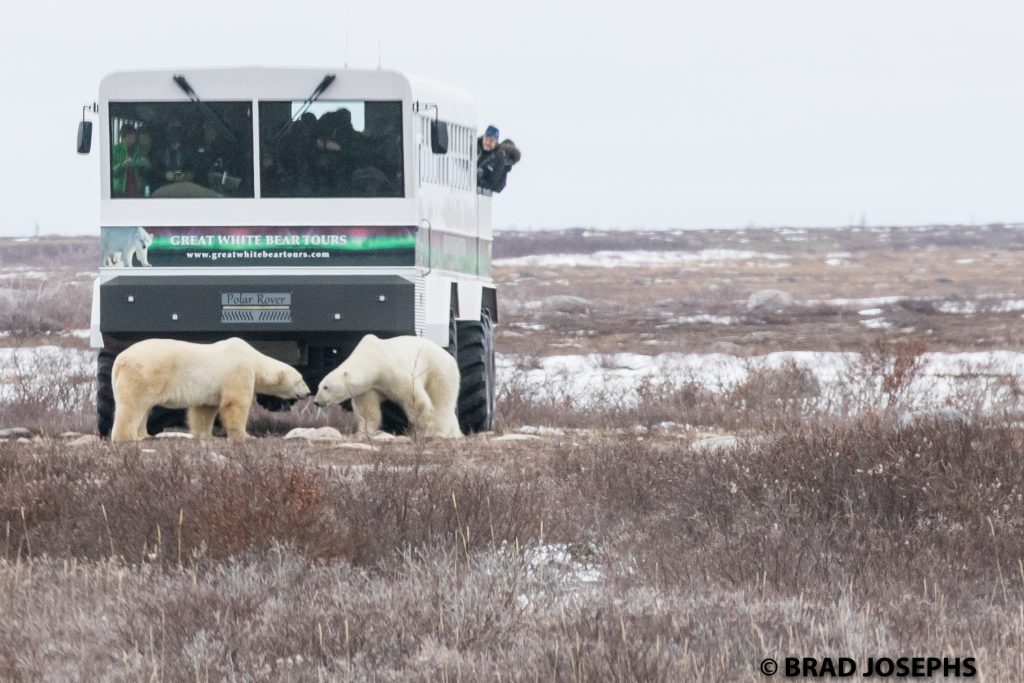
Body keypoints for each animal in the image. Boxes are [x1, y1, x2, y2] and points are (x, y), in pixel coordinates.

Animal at [110, 337, 309, 441]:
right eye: (300, 380)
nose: (308, 392)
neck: (254, 358)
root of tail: (119, 360)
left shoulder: (211, 388)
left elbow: (204, 410)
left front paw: (205, 435)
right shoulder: (239, 370)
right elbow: (235, 404)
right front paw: (245, 435)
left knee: (143, 408)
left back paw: (143, 435)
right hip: (144, 374)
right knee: (133, 406)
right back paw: (127, 437)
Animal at [313, 334, 462, 438]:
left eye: (326, 387)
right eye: (318, 386)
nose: (316, 402)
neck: (373, 359)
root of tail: (450, 357)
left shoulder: (393, 370)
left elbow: (415, 399)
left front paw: (422, 429)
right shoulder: (368, 387)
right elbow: (367, 410)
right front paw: (363, 432)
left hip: (438, 370)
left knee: (441, 400)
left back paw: (438, 432)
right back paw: (455, 433)